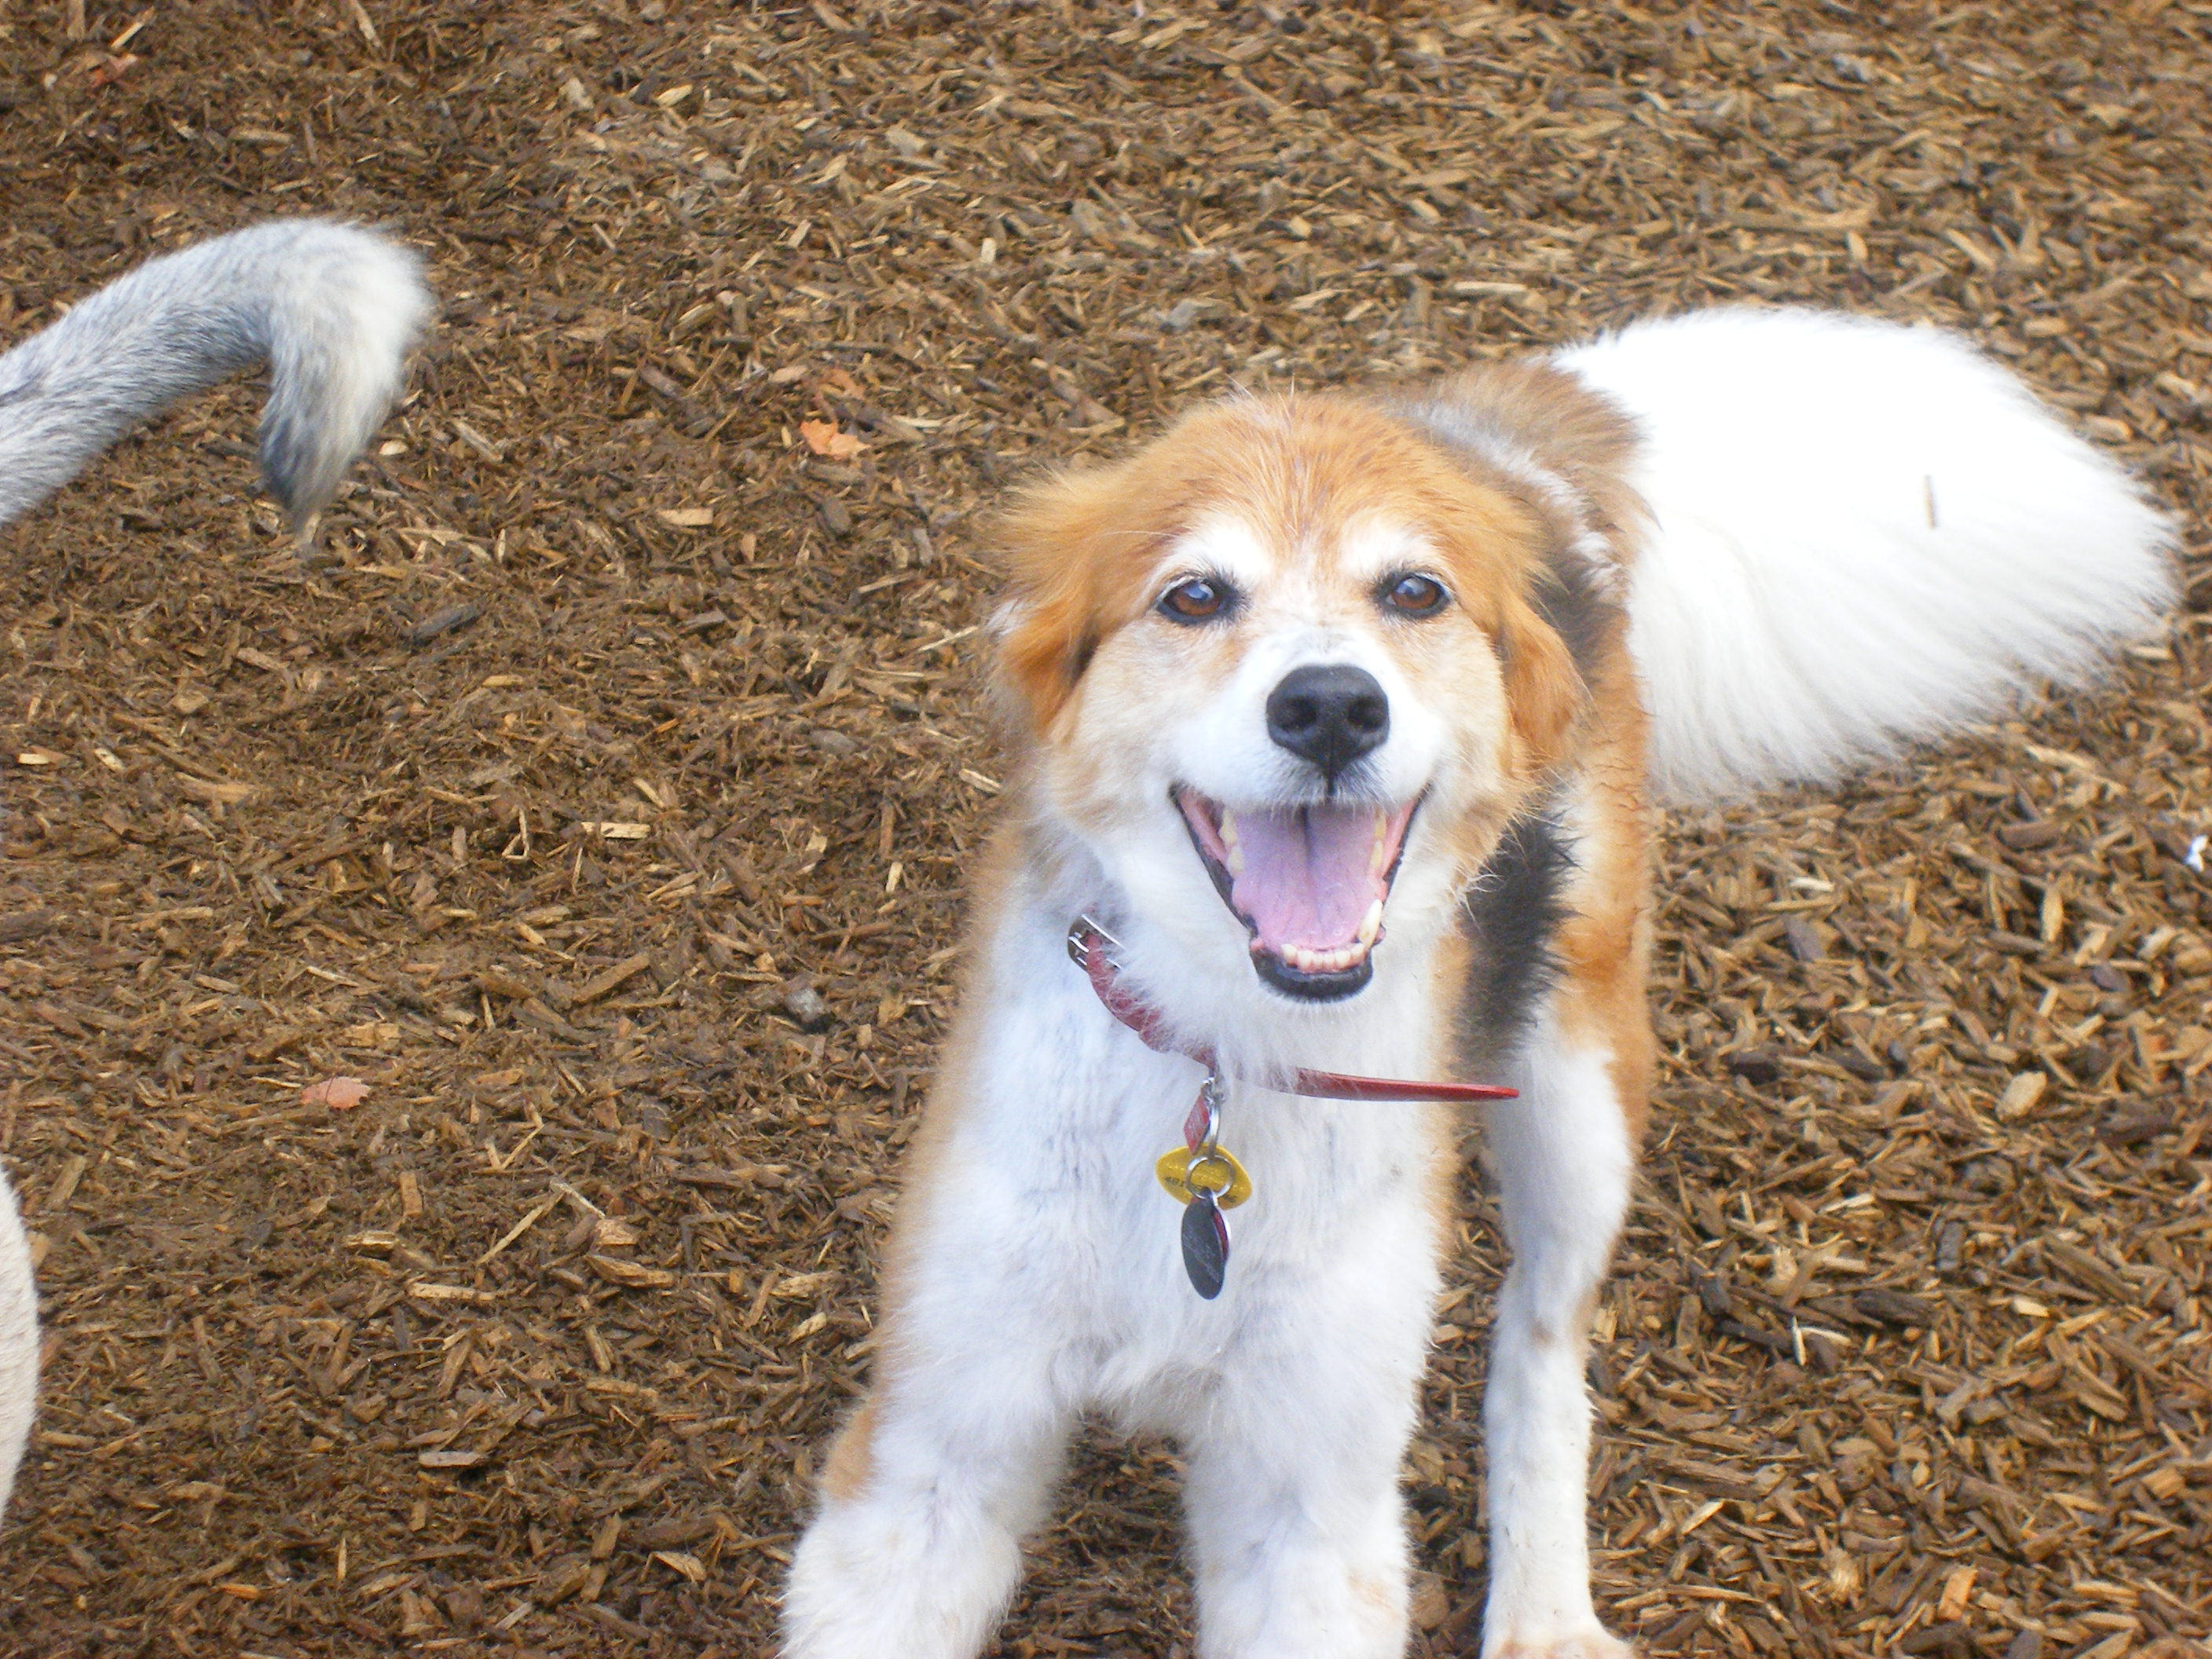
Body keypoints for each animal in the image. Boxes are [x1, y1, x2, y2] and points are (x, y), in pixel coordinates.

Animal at [783, 304, 2172, 1659]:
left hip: (1578, 1089)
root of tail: (1499, 446)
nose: (1330, 706)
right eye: (1193, 596)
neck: (1229, 1054)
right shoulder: (931, 1455)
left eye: (1414, 591)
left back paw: (1545, 1612)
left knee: (1541, 1355)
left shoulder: (1312, 1505)